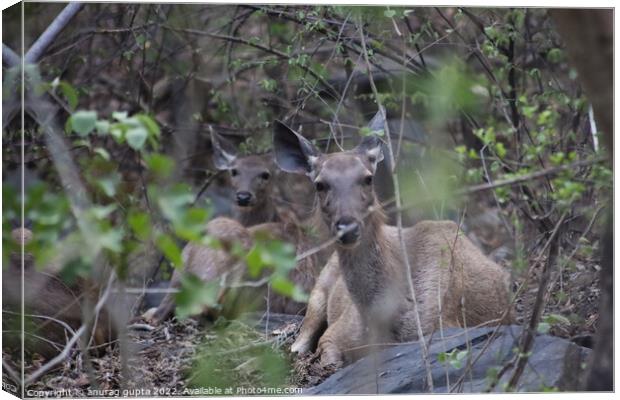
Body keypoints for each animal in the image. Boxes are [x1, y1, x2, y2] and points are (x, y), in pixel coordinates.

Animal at [274, 110, 512, 368]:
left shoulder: (443, 326)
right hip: (319, 290)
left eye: (368, 178)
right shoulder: (333, 334)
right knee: (298, 341)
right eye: (319, 184)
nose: (347, 227)